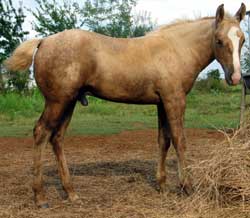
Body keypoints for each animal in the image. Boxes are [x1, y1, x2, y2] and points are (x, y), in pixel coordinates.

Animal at [4, 3, 246, 208]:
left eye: (242, 40)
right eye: (219, 40)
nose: (234, 77)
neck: (177, 49)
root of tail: (43, 41)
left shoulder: (162, 102)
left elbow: (164, 140)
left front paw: (162, 185)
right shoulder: (174, 99)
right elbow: (180, 140)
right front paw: (187, 187)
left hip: (69, 102)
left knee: (57, 138)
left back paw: (71, 192)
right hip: (57, 101)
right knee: (41, 132)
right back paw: (40, 197)